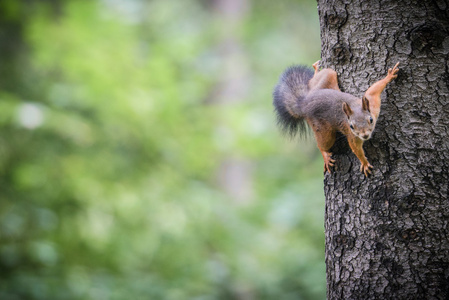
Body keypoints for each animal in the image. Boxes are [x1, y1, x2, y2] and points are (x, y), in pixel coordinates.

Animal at [272, 61, 400, 177]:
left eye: (371, 120)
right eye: (351, 126)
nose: (364, 136)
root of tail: (303, 103)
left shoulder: (372, 105)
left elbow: (373, 90)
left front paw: (389, 76)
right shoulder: (353, 136)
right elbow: (356, 149)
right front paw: (364, 163)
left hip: (327, 77)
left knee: (319, 77)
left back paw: (316, 69)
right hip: (323, 130)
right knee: (323, 143)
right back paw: (325, 156)